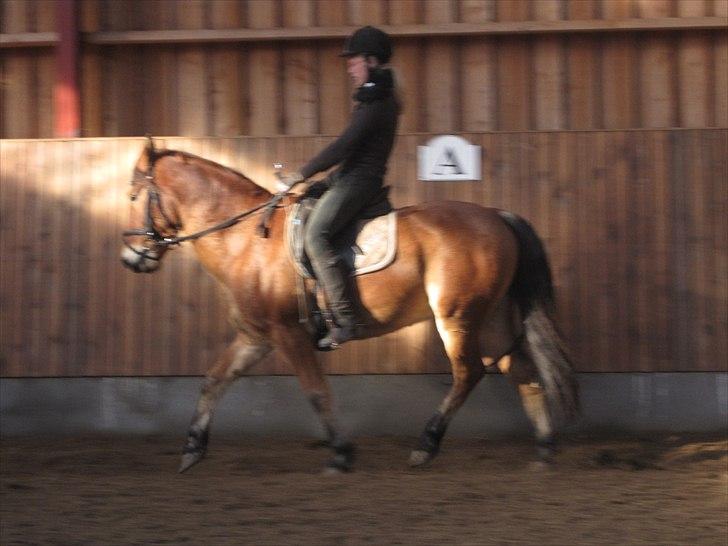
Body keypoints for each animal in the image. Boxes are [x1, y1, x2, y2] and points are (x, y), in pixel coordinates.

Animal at [120, 139, 579, 474]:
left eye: (133, 195)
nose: (131, 259)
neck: (247, 239)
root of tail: (496, 215)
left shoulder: (289, 334)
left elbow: (316, 392)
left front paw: (341, 452)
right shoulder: (257, 336)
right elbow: (214, 380)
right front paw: (192, 448)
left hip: (457, 317)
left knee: (469, 373)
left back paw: (426, 446)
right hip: (490, 318)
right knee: (521, 370)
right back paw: (543, 449)